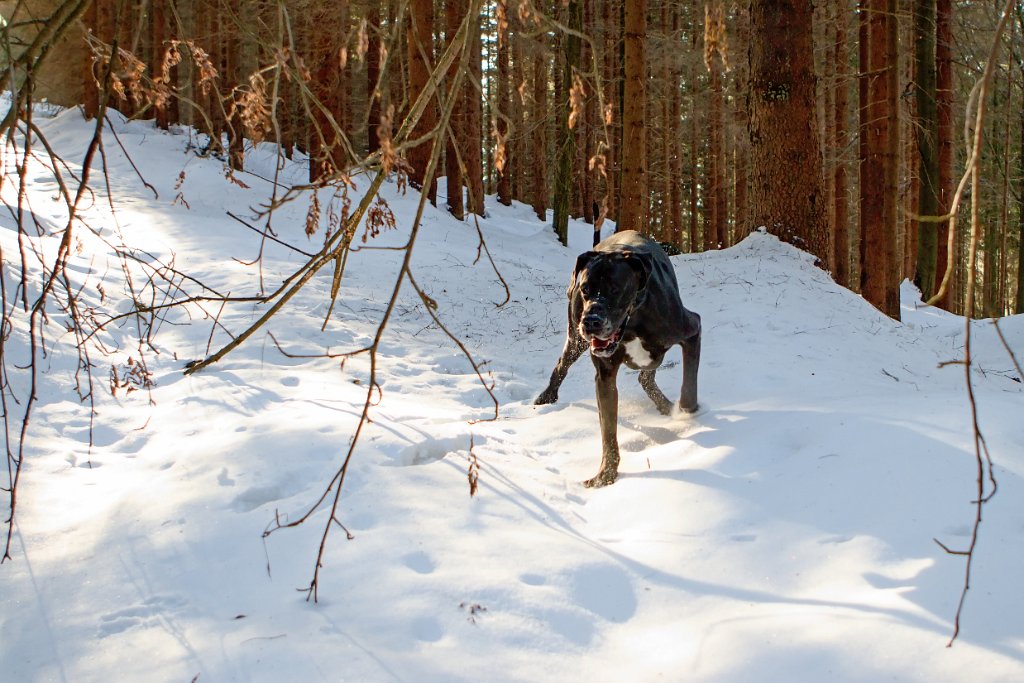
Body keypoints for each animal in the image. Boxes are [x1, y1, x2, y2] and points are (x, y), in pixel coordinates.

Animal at [532, 232, 700, 489]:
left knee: (646, 376)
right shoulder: (605, 376)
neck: (633, 323)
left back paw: (667, 406)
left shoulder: (691, 330)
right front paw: (605, 475)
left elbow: (689, 387)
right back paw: (546, 397)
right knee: (562, 365)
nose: (591, 321)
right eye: (586, 288)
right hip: (576, 338)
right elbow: (608, 430)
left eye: (614, 289)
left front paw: (687, 414)